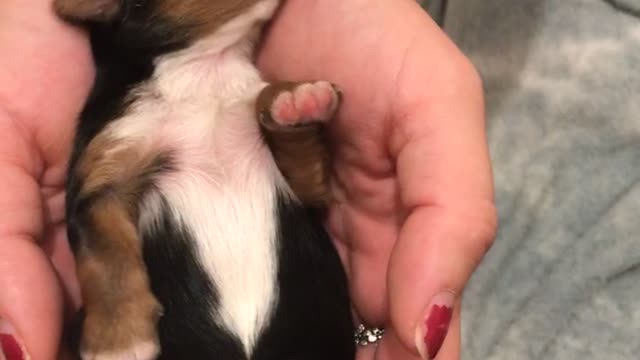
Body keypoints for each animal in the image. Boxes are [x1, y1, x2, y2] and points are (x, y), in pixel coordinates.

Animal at [51, 1, 356, 358]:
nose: (299, 100)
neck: (208, 70)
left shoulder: (308, 193)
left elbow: (299, 151)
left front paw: (296, 102)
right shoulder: (105, 171)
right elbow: (104, 254)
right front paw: (120, 342)